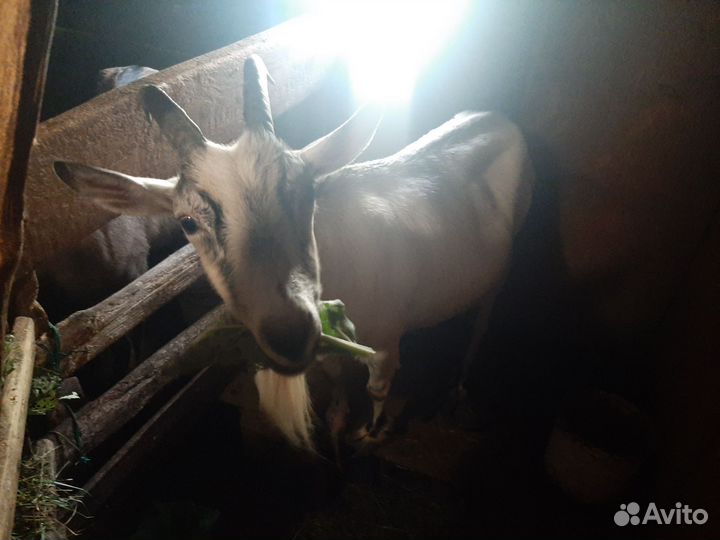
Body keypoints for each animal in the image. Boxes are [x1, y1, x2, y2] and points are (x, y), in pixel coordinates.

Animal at [53, 55, 534, 447]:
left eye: (308, 191)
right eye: (188, 222)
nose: (290, 334)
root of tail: (497, 118)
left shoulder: (384, 343)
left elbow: (378, 389)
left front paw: (370, 432)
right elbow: (337, 377)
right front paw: (338, 417)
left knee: (486, 314)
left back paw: (461, 386)